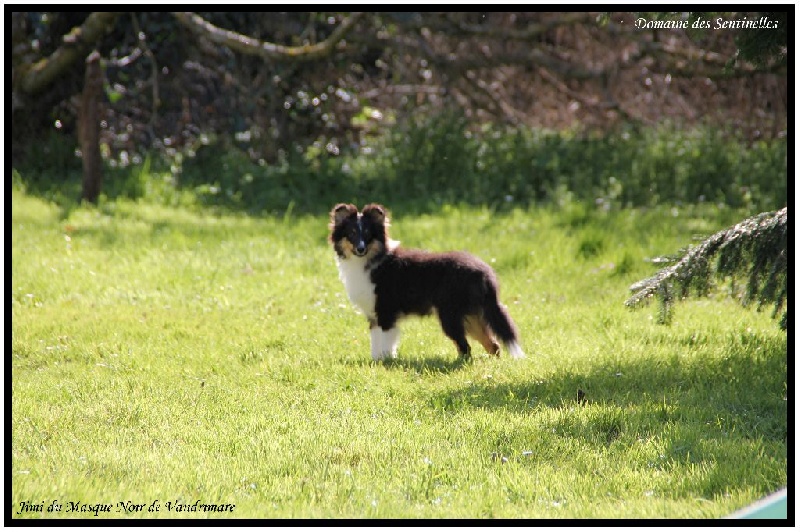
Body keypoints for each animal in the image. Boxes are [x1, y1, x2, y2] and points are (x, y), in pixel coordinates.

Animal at [326, 204, 524, 362]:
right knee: (493, 344)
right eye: (351, 233)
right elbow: (375, 341)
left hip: (450, 315)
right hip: (471, 315)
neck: (371, 260)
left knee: (465, 347)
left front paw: (387, 360)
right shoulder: (373, 314)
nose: (360, 249)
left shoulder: (386, 311)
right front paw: (377, 361)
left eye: (368, 234)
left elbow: (386, 341)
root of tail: (485, 272)